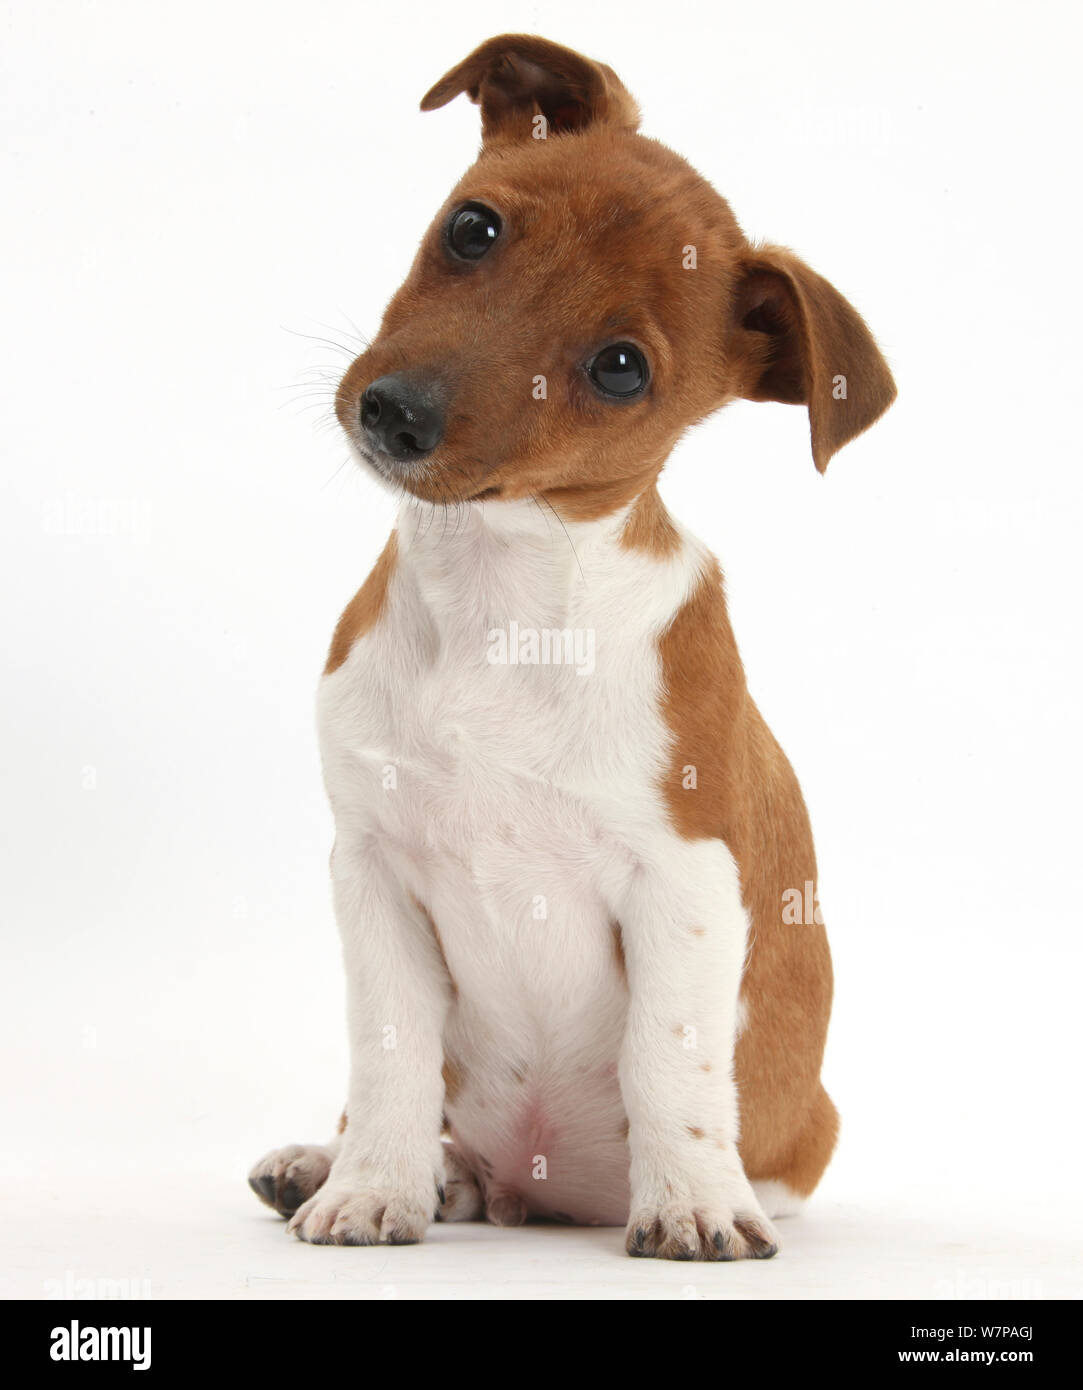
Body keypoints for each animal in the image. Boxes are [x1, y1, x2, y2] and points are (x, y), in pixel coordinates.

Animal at [250, 35, 895, 1262]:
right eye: (473, 229)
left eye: (620, 367)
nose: (395, 414)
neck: (502, 602)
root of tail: (533, 1193)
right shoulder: (372, 871)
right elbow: (392, 1055)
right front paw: (372, 1185)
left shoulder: (684, 880)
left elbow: (667, 1057)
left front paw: (690, 1201)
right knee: (424, 1121)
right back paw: (356, 1162)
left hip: (801, 1138)